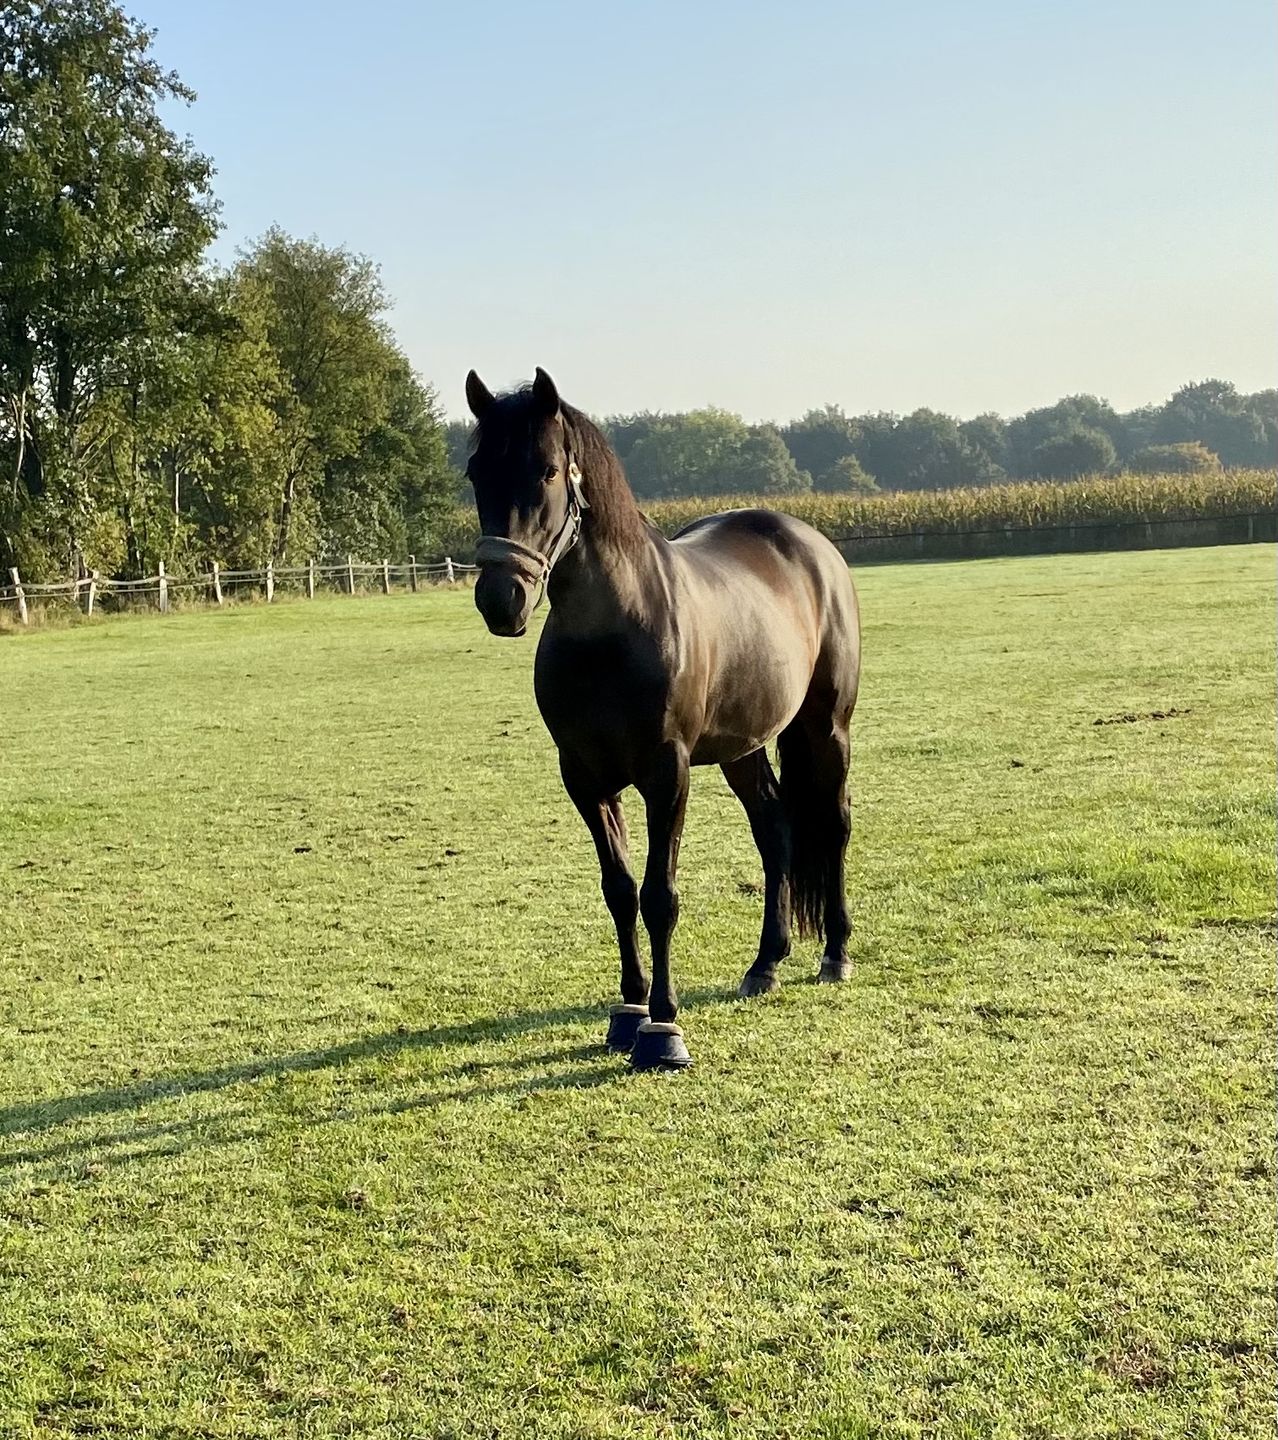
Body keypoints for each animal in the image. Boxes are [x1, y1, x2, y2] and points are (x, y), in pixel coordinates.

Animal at [464, 367, 861, 1069]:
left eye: (547, 471)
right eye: (475, 472)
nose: (501, 599)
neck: (612, 632)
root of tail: (810, 542)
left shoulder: (666, 773)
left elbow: (659, 896)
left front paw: (664, 1025)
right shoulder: (584, 778)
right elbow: (620, 891)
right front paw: (628, 1012)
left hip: (826, 726)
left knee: (833, 824)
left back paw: (835, 954)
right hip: (742, 747)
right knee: (776, 830)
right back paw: (766, 963)